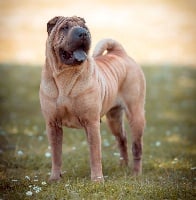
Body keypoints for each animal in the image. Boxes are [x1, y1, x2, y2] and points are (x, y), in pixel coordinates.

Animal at [39, 15, 145, 181]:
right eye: (64, 28)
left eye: (84, 27)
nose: (83, 33)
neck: (65, 75)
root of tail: (120, 53)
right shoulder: (53, 124)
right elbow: (56, 155)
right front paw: (54, 179)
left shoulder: (92, 123)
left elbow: (95, 155)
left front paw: (97, 180)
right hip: (114, 119)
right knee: (122, 139)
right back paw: (122, 167)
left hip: (135, 115)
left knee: (137, 146)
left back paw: (135, 173)